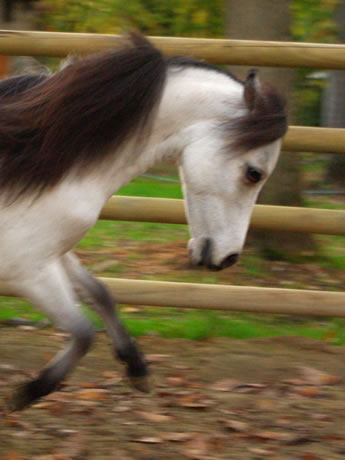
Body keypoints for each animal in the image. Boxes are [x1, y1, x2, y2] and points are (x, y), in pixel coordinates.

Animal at [0, 33, 286, 410]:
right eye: (254, 173)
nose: (228, 259)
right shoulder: (26, 270)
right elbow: (83, 333)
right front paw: (27, 393)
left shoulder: (52, 254)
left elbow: (101, 295)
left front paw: (137, 368)